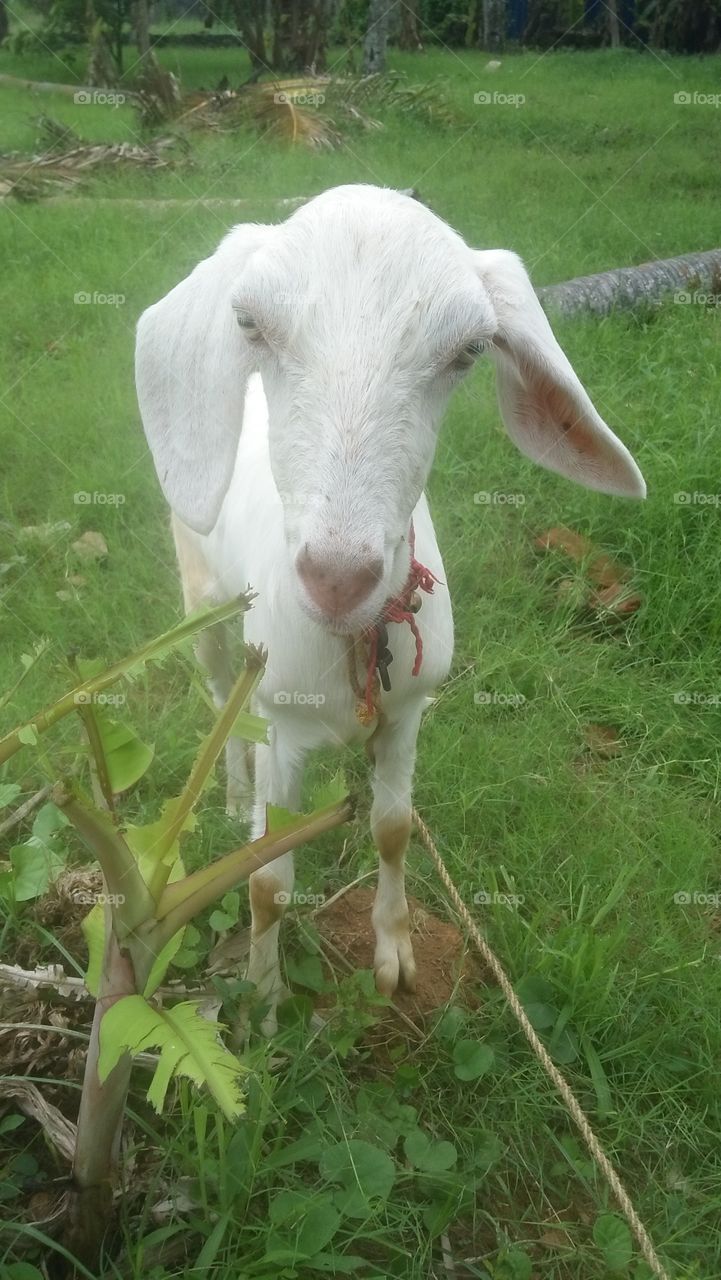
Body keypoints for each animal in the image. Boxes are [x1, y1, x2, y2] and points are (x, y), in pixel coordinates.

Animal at [136, 184, 645, 1032]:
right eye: (250, 323)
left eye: (468, 351)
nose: (337, 576)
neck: (347, 645)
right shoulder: (283, 724)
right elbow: (266, 878)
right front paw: (266, 1006)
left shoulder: (409, 709)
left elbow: (394, 829)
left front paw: (395, 959)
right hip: (200, 590)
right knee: (216, 694)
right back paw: (230, 791)